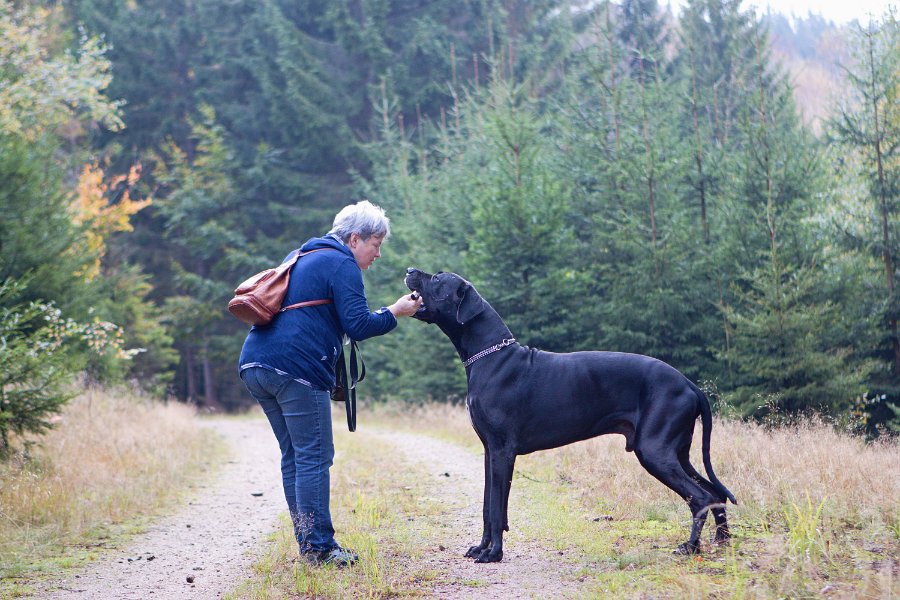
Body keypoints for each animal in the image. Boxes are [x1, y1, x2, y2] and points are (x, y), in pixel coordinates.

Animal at [404, 268, 736, 564]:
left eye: (437, 278)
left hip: (655, 451)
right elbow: (488, 506)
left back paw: (691, 547)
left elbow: (497, 509)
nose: (409, 270)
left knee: (700, 497)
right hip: (676, 452)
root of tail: (690, 384)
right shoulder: (489, 451)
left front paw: (493, 554)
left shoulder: (502, 451)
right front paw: (481, 547)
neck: (491, 356)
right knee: (713, 494)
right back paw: (721, 541)